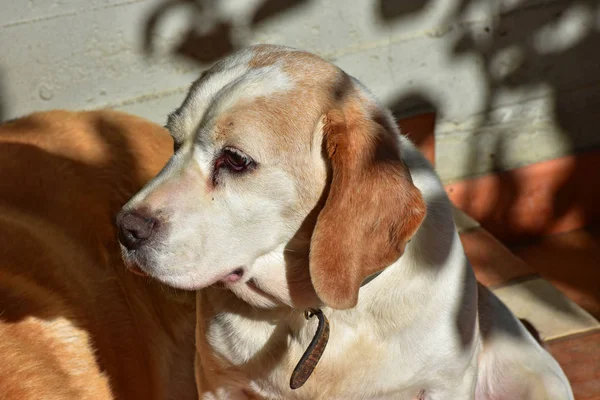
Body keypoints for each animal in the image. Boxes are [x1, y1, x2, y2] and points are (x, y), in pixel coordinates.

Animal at [116, 45, 572, 398]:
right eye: (174, 142)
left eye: (236, 160)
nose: (124, 229)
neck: (316, 311)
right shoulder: (217, 382)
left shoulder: (446, 384)